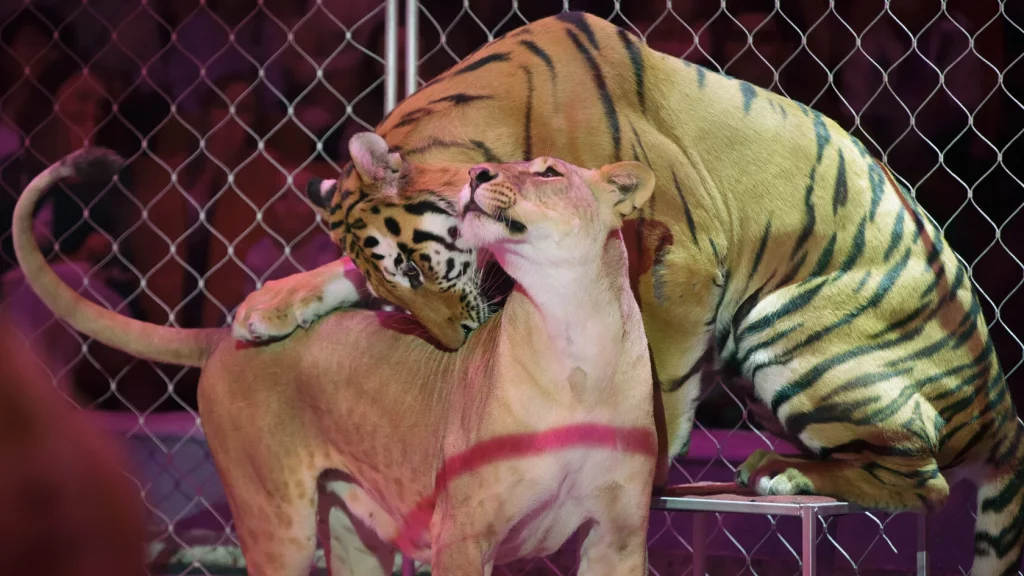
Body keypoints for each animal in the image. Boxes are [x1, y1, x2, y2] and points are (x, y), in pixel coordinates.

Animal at [241, 11, 1022, 574]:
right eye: (394, 288)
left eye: (414, 267)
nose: (452, 340)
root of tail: (998, 407)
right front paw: (264, 308)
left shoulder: (684, 258)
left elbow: (662, 377)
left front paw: (652, 464)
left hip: (792, 329)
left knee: (925, 481)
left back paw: (783, 472)